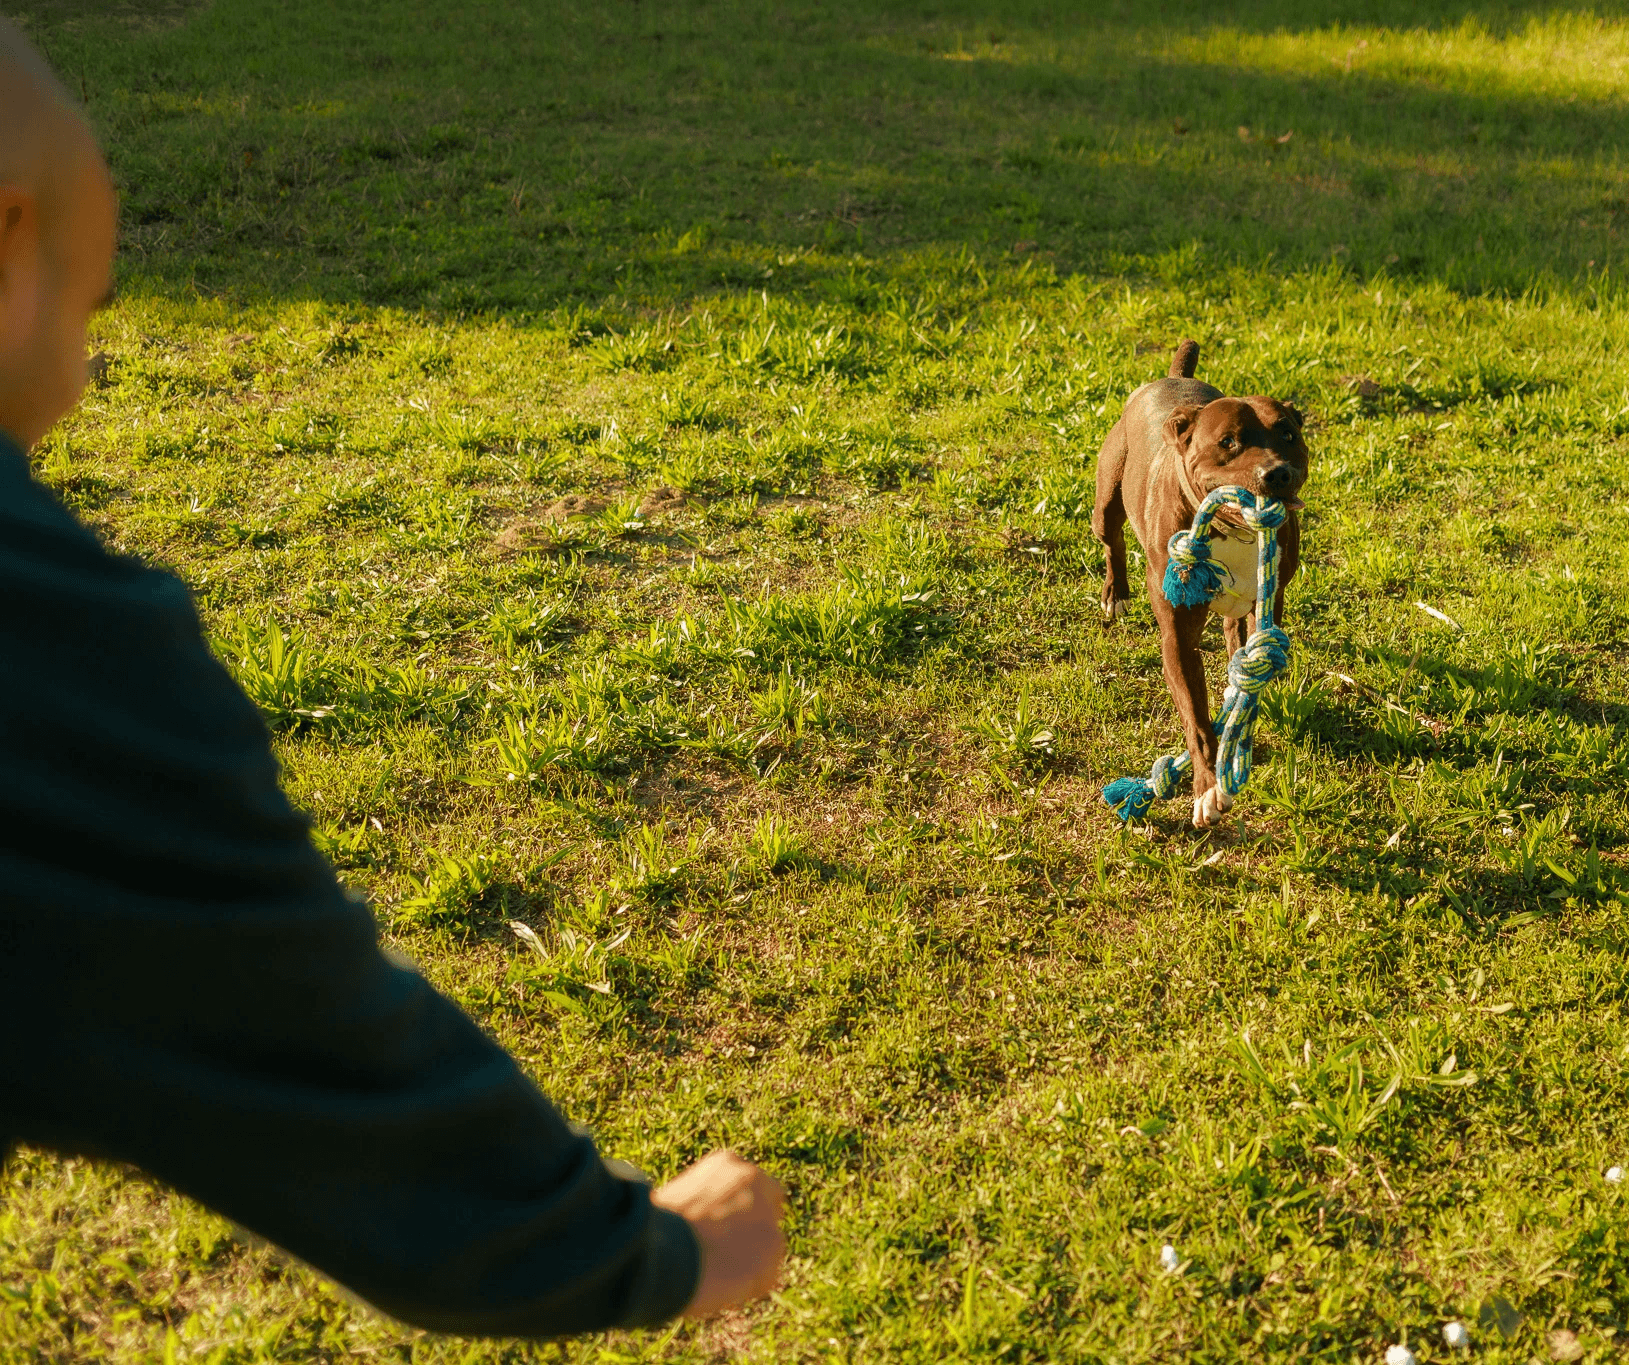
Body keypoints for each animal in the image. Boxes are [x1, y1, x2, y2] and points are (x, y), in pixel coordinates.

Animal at [1094, 342, 1309, 833]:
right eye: (1228, 442)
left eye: (1288, 435)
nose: (1277, 473)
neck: (1234, 532)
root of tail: (1171, 378)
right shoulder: (1178, 639)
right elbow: (1196, 719)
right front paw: (1207, 788)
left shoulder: (1266, 605)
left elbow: (1246, 671)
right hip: (1107, 497)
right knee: (1113, 540)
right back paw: (1116, 593)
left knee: (1232, 634)